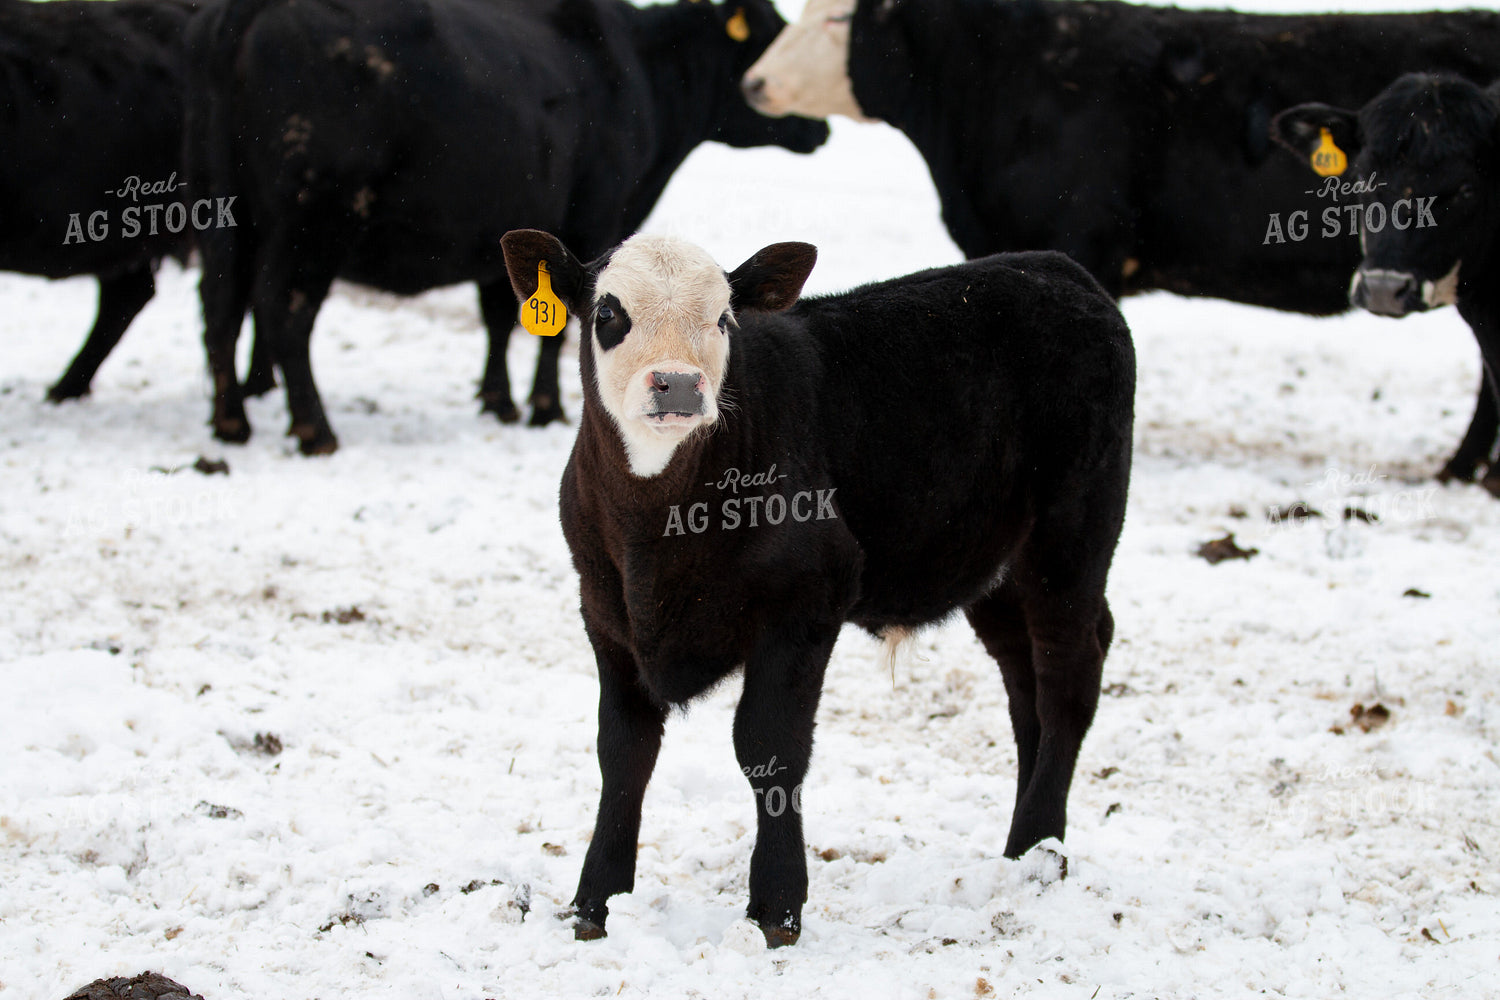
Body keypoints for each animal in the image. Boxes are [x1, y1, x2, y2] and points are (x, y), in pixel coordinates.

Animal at [185, 0, 828, 455]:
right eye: (771, 38)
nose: (821, 128)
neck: (639, 67)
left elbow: (500, 316)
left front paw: (498, 400)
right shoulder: (590, 221)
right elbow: (557, 327)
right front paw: (545, 406)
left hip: (229, 221)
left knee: (221, 308)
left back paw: (229, 420)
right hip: (313, 225)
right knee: (283, 314)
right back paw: (314, 430)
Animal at [500, 227, 1135, 946]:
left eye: (723, 319)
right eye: (609, 313)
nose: (679, 384)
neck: (656, 538)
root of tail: (1055, 267)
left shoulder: (805, 603)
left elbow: (770, 747)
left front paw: (775, 908)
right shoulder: (606, 614)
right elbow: (623, 752)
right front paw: (597, 901)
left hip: (1072, 537)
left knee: (1067, 679)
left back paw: (1040, 851)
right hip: (992, 567)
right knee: (1025, 686)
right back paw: (1019, 848)